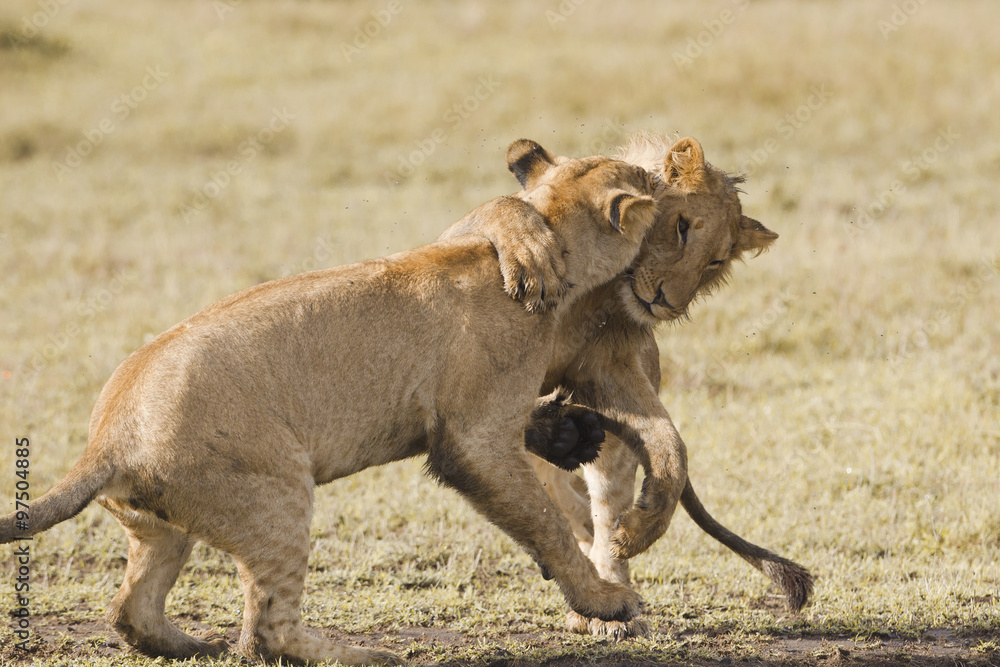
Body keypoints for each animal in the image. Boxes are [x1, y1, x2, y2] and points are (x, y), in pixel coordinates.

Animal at [0, 140, 659, 665]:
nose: (662, 177)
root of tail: (105, 441)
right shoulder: (473, 437)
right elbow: (544, 521)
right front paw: (605, 601)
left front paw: (571, 434)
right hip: (277, 496)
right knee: (266, 634)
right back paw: (362, 655)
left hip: (161, 526)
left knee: (131, 610)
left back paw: (192, 645)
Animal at [442, 133, 814, 639]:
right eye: (681, 227)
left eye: (716, 261)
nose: (666, 302)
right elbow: (507, 206)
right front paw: (531, 254)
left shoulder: (607, 367)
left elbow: (671, 448)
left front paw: (638, 530)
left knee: (597, 502)